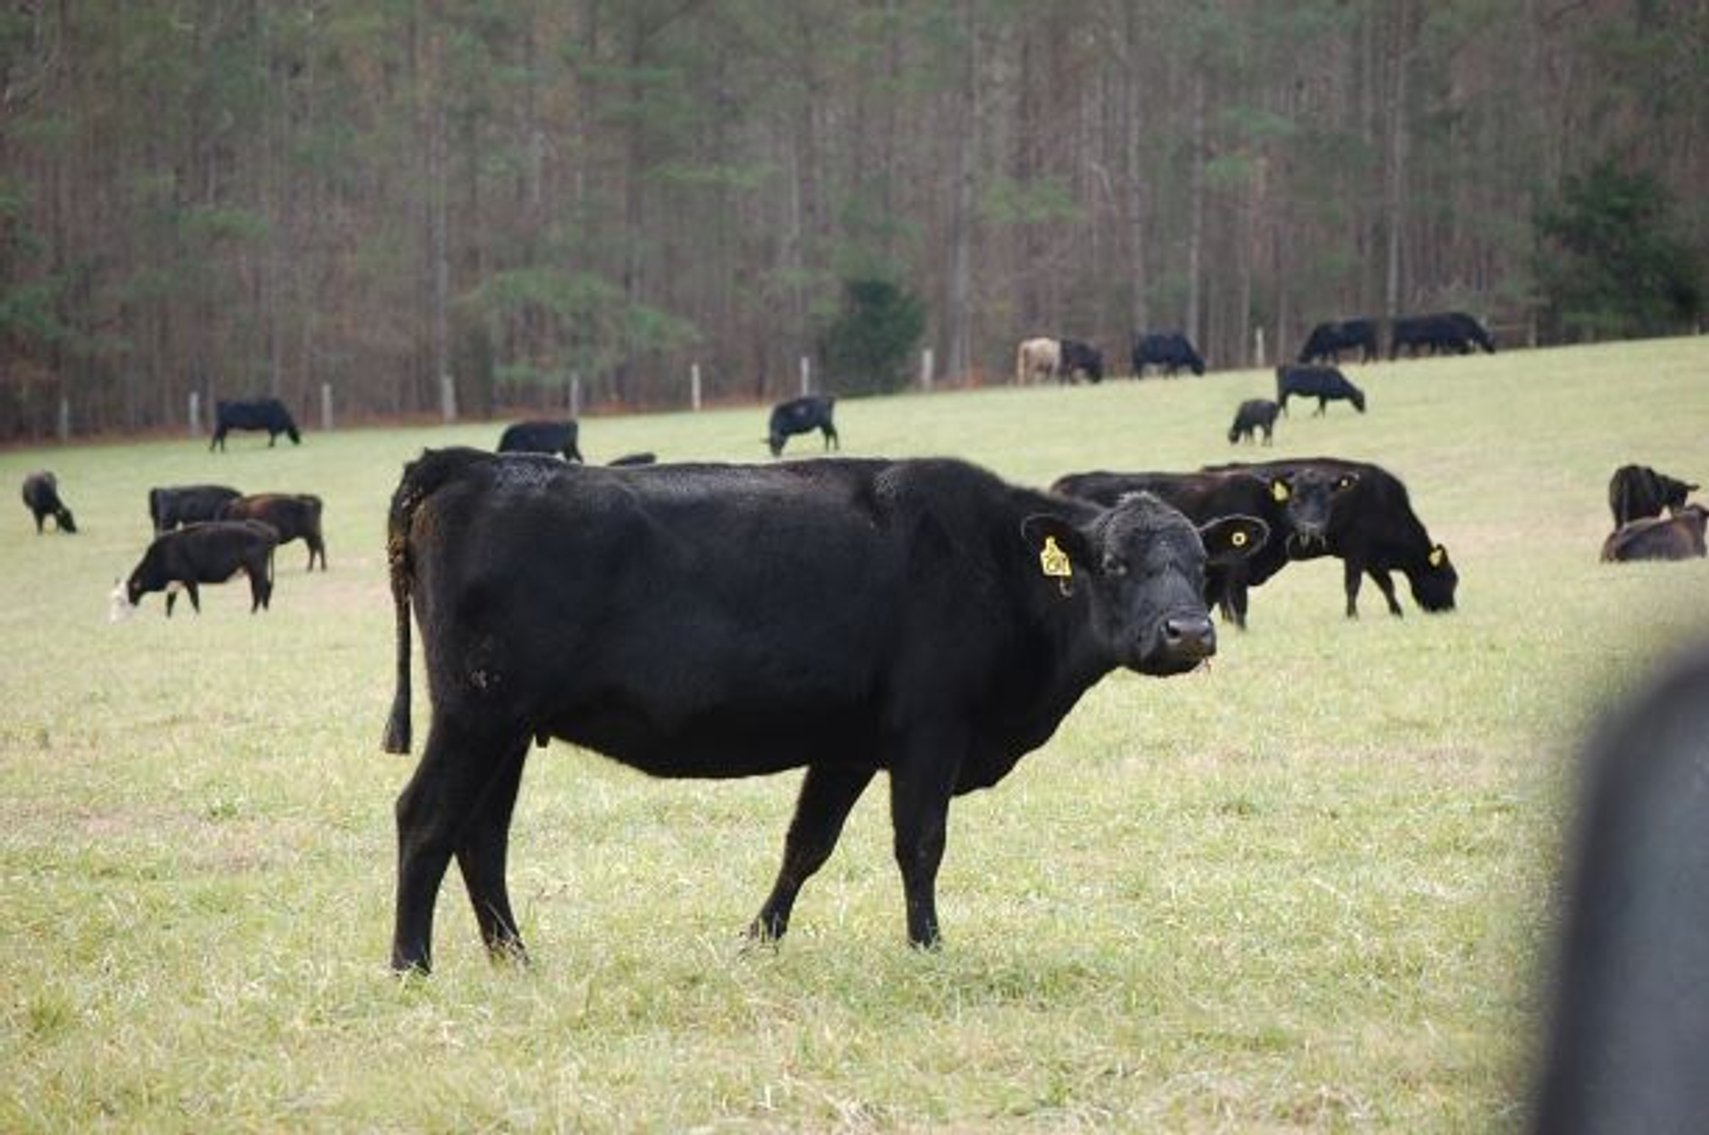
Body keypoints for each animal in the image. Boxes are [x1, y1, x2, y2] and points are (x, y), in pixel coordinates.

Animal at [122, 519, 279, 617]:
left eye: (130, 591)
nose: (131, 604)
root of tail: (266, 530)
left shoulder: (189, 579)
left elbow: (194, 600)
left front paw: (198, 616)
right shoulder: (174, 584)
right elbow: (169, 603)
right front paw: (168, 618)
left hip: (256, 569)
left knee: (259, 589)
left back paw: (253, 612)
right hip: (255, 571)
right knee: (264, 588)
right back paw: (263, 611)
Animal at [379, 448, 1267, 973]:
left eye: (1200, 564)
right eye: (1113, 564)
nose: (1189, 633)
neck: (989, 557)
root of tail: (470, 463)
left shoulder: (847, 743)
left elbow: (805, 844)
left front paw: (757, 940)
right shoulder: (929, 732)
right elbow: (919, 843)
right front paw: (926, 946)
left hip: (505, 727)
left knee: (481, 834)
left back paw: (513, 957)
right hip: (475, 712)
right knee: (427, 818)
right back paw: (411, 961)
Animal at [1210, 457, 1457, 618]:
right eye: (1449, 579)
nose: (1450, 610)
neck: (1385, 504)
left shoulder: (1373, 559)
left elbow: (1386, 585)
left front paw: (1396, 612)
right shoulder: (1357, 552)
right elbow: (1353, 585)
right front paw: (1352, 615)